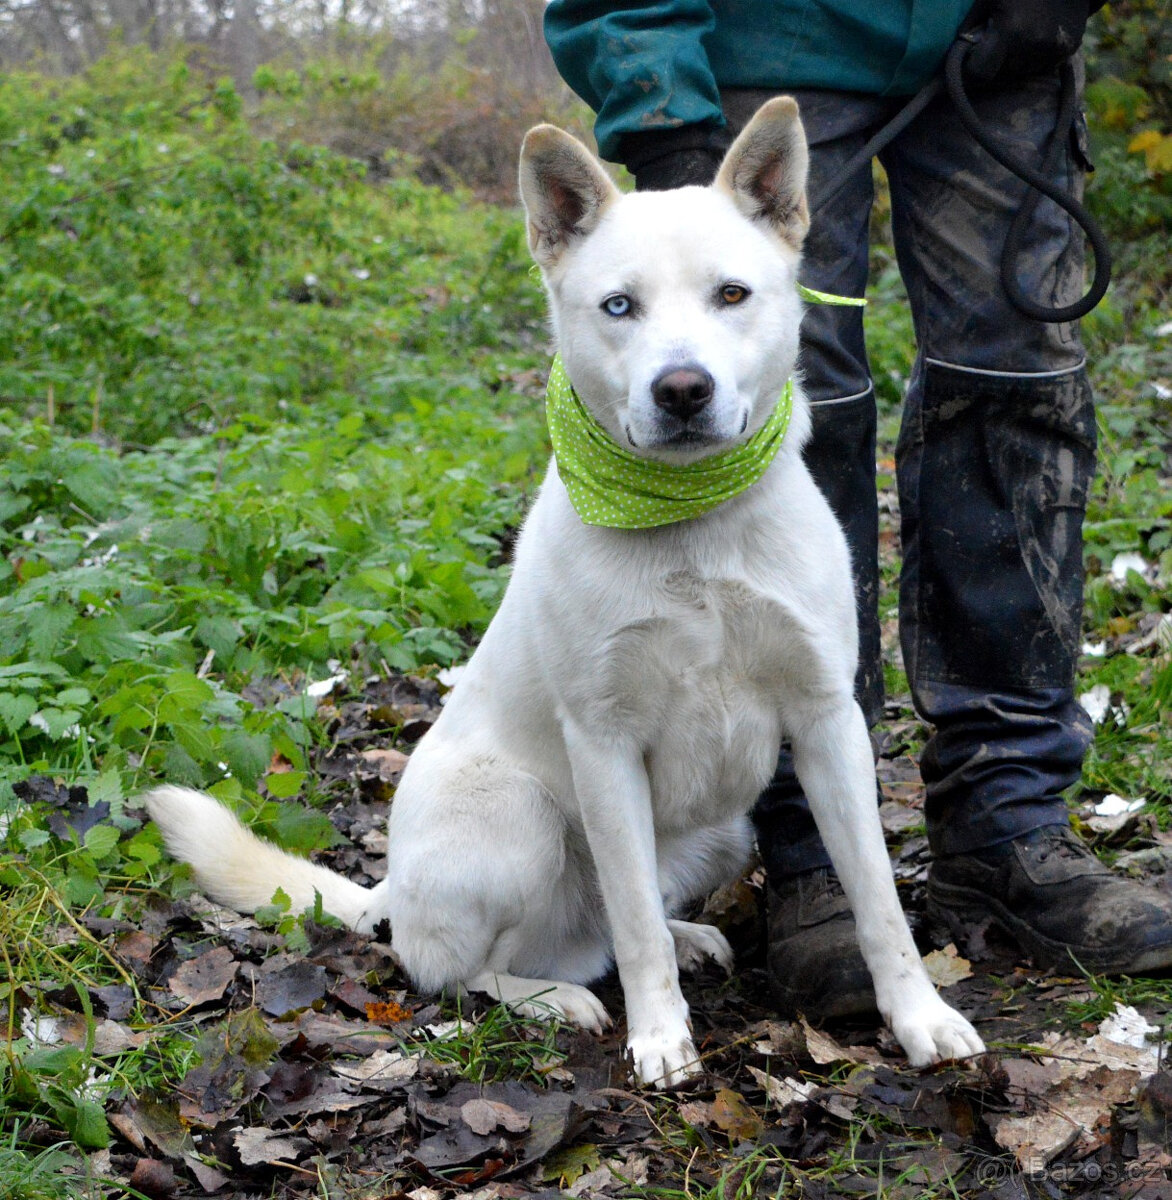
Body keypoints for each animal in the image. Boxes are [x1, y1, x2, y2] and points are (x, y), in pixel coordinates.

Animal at [151, 96, 983, 1089]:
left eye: (732, 295)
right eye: (619, 306)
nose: (681, 389)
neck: (692, 531)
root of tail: (389, 889)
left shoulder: (827, 723)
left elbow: (878, 903)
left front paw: (920, 1019)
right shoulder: (604, 745)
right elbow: (633, 929)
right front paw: (661, 1040)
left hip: (724, 831)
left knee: (610, 928)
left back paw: (681, 937)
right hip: (519, 815)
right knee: (460, 970)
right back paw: (555, 1001)